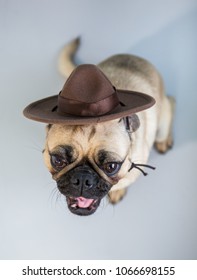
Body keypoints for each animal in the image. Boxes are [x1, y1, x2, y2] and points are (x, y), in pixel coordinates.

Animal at [23, 38, 175, 215]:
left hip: (162, 118)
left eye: (111, 166)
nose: (82, 178)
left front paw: (116, 191)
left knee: (170, 104)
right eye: (58, 160)